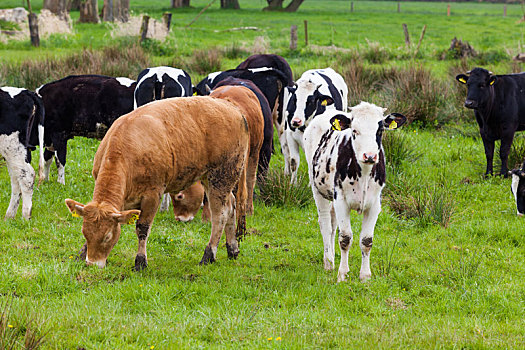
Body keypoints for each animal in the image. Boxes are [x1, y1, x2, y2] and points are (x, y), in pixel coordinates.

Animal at [0, 87, 44, 219]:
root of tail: (25, 91)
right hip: (14, 151)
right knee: (17, 178)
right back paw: (9, 216)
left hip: (12, 146)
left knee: (27, 175)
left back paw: (25, 216)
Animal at [64, 97, 250, 270]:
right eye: (84, 233)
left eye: (108, 236)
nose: (92, 264)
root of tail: (234, 110)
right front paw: (81, 254)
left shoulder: (152, 195)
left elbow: (142, 228)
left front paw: (140, 262)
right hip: (214, 180)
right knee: (231, 206)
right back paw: (232, 248)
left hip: (221, 176)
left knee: (220, 215)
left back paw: (209, 255)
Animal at [302, 101, 406, 282]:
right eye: (354, 130)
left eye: (380, 130)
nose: (369, 156)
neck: (363, 174)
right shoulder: (342, 201)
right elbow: (345, 238)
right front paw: (342, 274)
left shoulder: (374, 205)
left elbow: (366, 241)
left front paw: (365, 276)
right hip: (317, 188)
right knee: (325, 224)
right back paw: (328, 262)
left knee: (333, 223)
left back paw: (332, 257)